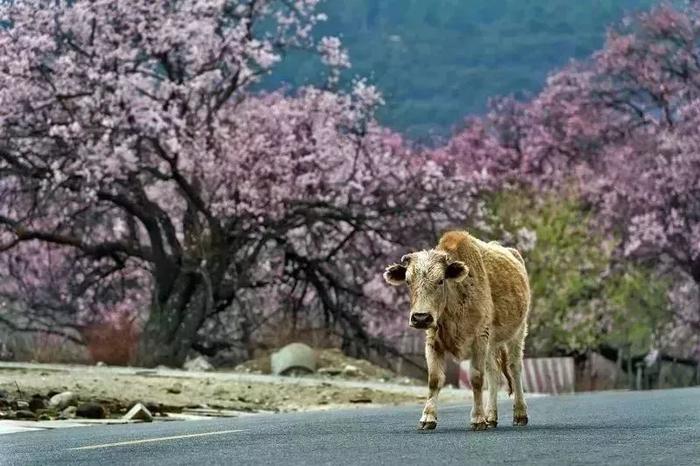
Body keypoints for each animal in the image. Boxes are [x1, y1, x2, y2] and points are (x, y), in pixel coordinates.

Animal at [382, 231, 532, 432]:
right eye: (408, 281)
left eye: (440, 280)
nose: (421, 318)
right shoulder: (433, 342)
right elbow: (434, 379)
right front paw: (428, 417)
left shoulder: (479, 339)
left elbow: (476, 378)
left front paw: (477, 419)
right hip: (492, 344)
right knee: (493, 372)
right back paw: (491, 417)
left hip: (517, 334)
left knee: (515, 368)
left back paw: (520, 414)